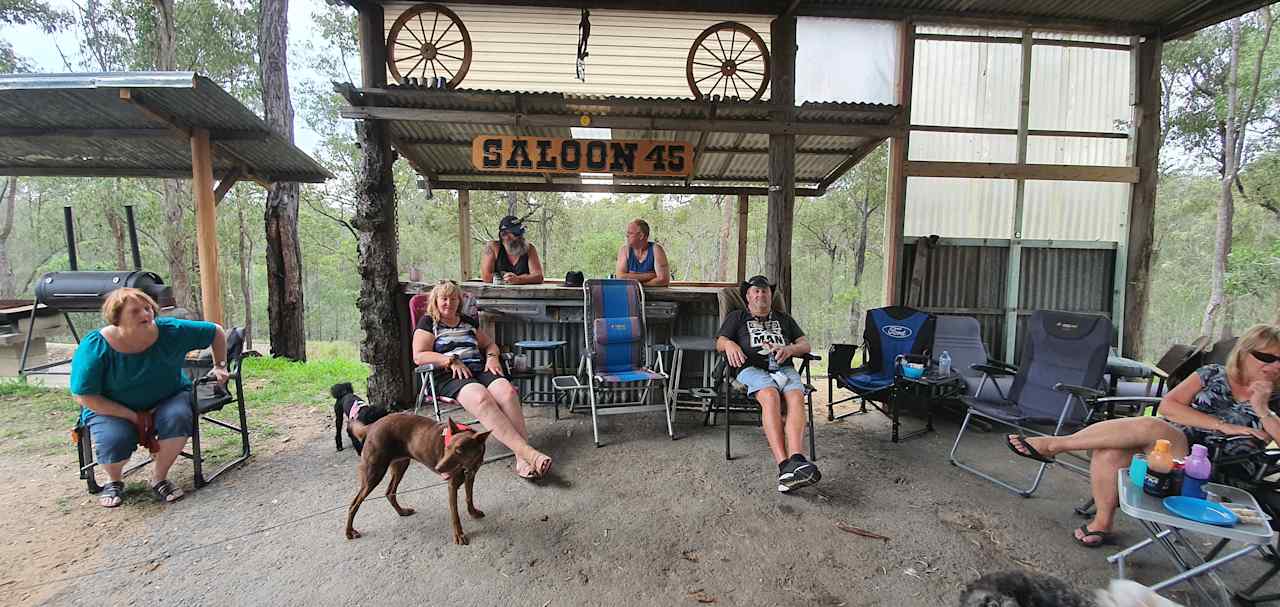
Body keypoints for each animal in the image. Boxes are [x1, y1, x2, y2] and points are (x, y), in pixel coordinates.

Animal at [345, 412, 488, 545]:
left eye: (459, 451)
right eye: (446, 448)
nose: (438, 467)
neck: (468, 464)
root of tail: (372, 425)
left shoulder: (470, 476)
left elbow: (469, 497)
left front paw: (473, 513)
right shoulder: (452, 486)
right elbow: (455, 514)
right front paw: (459, 535)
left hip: (400, 465)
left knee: (389, 492)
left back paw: (402, 511)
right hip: (374, 473)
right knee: (354, 504)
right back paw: (349, 532)